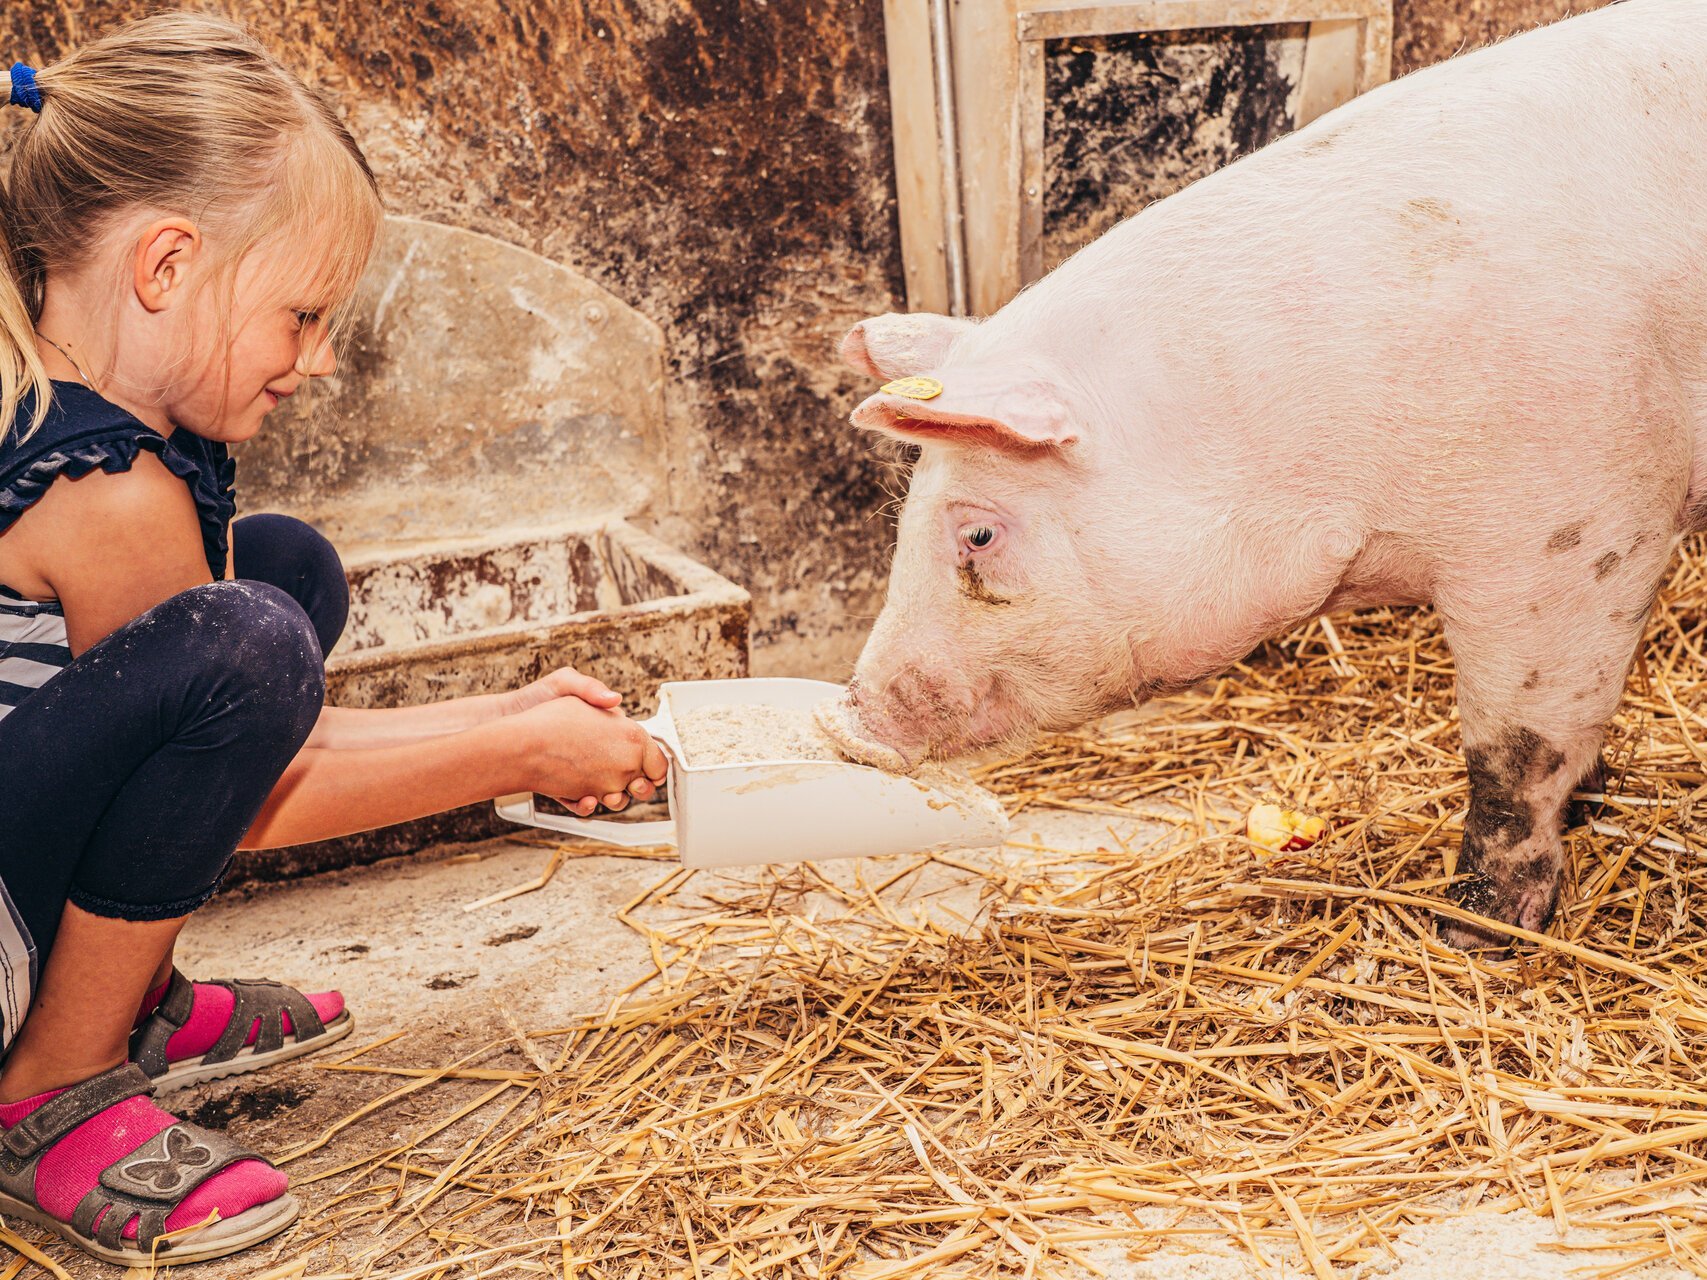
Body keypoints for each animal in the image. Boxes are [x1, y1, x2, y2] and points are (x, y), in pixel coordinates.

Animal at [827, 0, 1707, 948]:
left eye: (979, 532)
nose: (848, 720)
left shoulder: (1570, 538)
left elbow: (1513, 751)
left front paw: (1471, 932)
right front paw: (1592, 803)